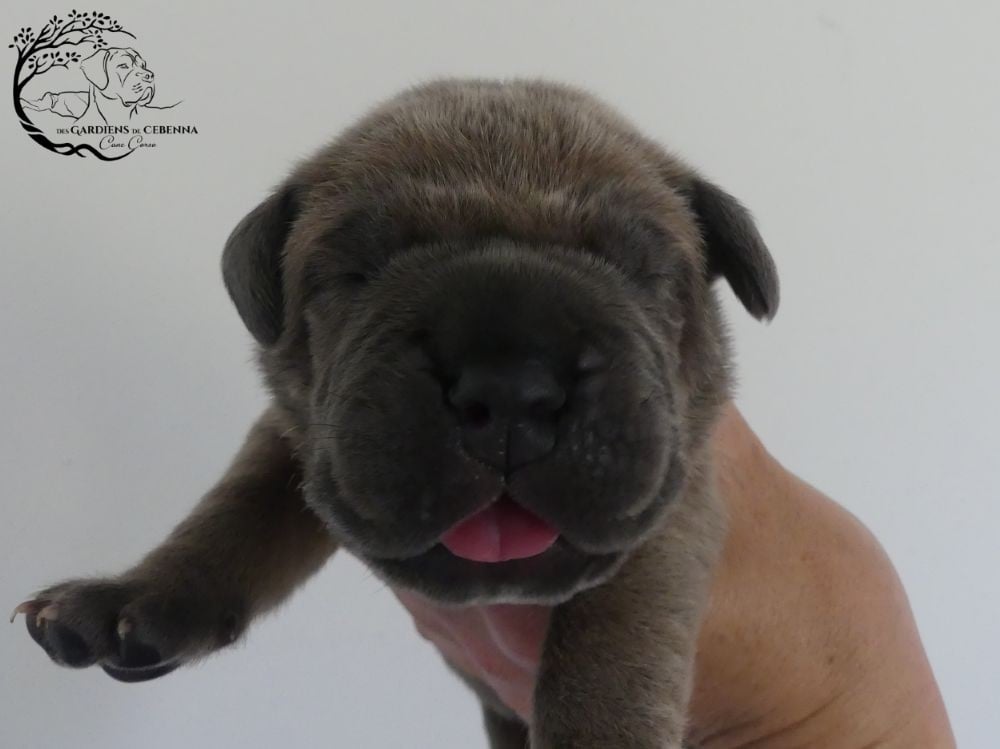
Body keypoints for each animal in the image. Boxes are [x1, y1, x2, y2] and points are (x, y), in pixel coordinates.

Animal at [14, 79, 778, 747]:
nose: (510, 387)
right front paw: (134, 598)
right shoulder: (297, 443)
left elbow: (612, 643)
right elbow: (233, 517)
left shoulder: (678, 499)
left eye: (649, 274)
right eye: (354, 272)